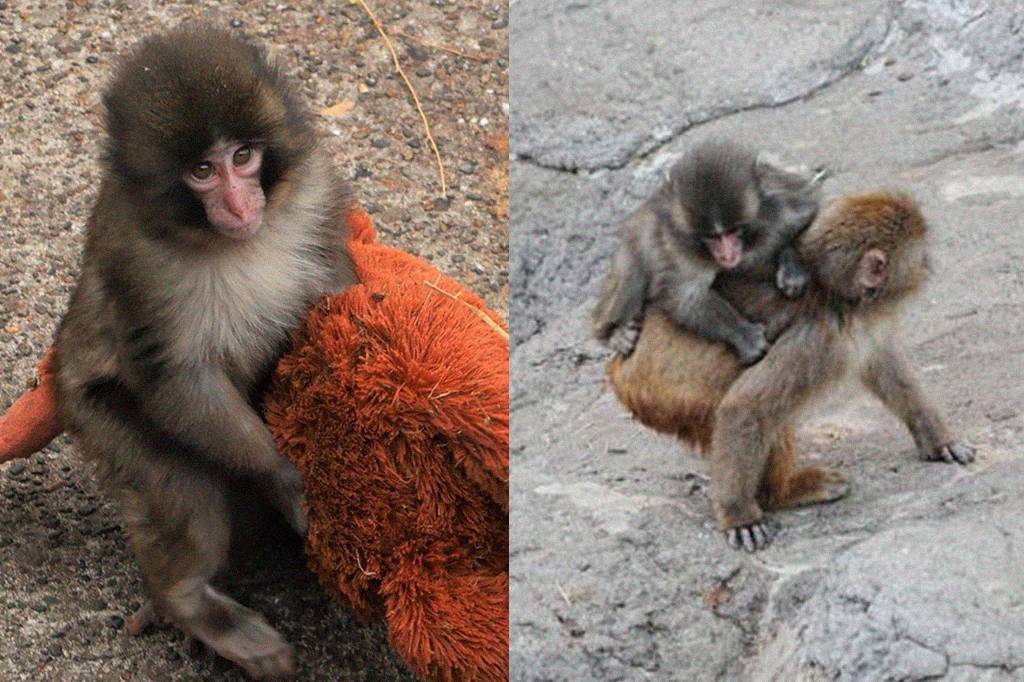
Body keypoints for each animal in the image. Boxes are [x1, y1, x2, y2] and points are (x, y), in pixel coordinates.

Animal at [53, 26, 358, 678]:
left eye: (243, 157)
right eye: (201, 170)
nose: (241, 206)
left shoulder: (314, 193)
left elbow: (337, 290)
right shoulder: (137, 260)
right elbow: (175, 378)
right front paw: (282, 476)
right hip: (95, 415)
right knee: (182, 486)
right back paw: (189, 602)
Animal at [591, 140, 821, 363]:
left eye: (733, 231)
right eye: (712, 237)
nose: (727, 255)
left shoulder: (785, 200)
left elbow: (808, 214)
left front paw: (791, 266)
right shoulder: (678, 247)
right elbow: (686, 295)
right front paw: (743, 334)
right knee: (632, 269)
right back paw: (614, 333)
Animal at [606, 191, 974, 552]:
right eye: (920, 255)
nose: (929, 265)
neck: (833, 290)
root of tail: (618, 368)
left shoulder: (857, 325)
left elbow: (882, 361)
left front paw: (937, 438)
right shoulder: (820, 338)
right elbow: (744, 407)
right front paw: (739, 517)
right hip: (669, 397)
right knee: (764, 417)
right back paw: (782, 494)